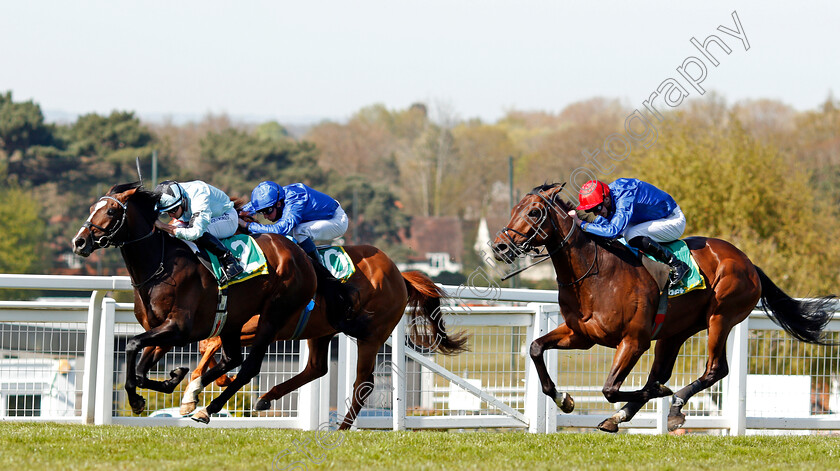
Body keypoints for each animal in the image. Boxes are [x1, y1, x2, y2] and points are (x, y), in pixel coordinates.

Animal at [70, 182, 466, 432]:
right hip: (315, 331)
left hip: (345, 330)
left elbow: (138, 347)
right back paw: (255, 400)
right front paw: (168, 385)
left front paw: (176, 390)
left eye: (110, 212)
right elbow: (143, 360)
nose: (80, 242)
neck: (163, 264)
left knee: (355, 383)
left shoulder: (184, 327)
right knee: (314, 368)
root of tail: (399, 272)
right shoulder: (171, 330)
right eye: (92, 208)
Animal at [488, 183, 836, 434]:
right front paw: (564, 399)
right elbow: (536, 348)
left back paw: (674, 404)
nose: (500, 246)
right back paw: (628, 415)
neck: (595, 273)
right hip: (675, 331)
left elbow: (611, 388)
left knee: (715, 369)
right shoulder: (581, 335)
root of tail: (748, 262)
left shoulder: (634, 340)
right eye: (514, 209)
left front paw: (657, 394)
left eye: (534, 212)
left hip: (720, 317)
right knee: (663, 370)